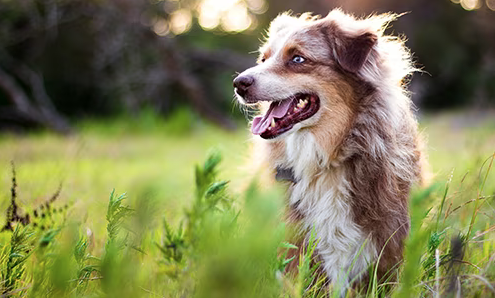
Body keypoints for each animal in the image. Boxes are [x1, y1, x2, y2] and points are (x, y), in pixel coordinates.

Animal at [234, 8, 428, 292]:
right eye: (263, 59)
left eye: (298, 58)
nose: (238, 83)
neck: (326, 160)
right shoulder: (296, 242)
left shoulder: (388, 238)